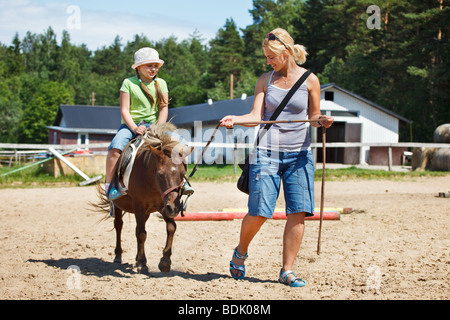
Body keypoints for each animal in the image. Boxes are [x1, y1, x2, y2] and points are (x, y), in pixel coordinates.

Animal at [94, 122, 192, 272]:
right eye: (160, 174)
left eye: (182, 174)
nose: (174, 208)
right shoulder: (139, 205)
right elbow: (141, 233)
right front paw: (141, 263)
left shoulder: (162, 205)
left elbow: (171, 227)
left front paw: (165, 261)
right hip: (118, 206)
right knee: (119, 226)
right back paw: (118, 255)